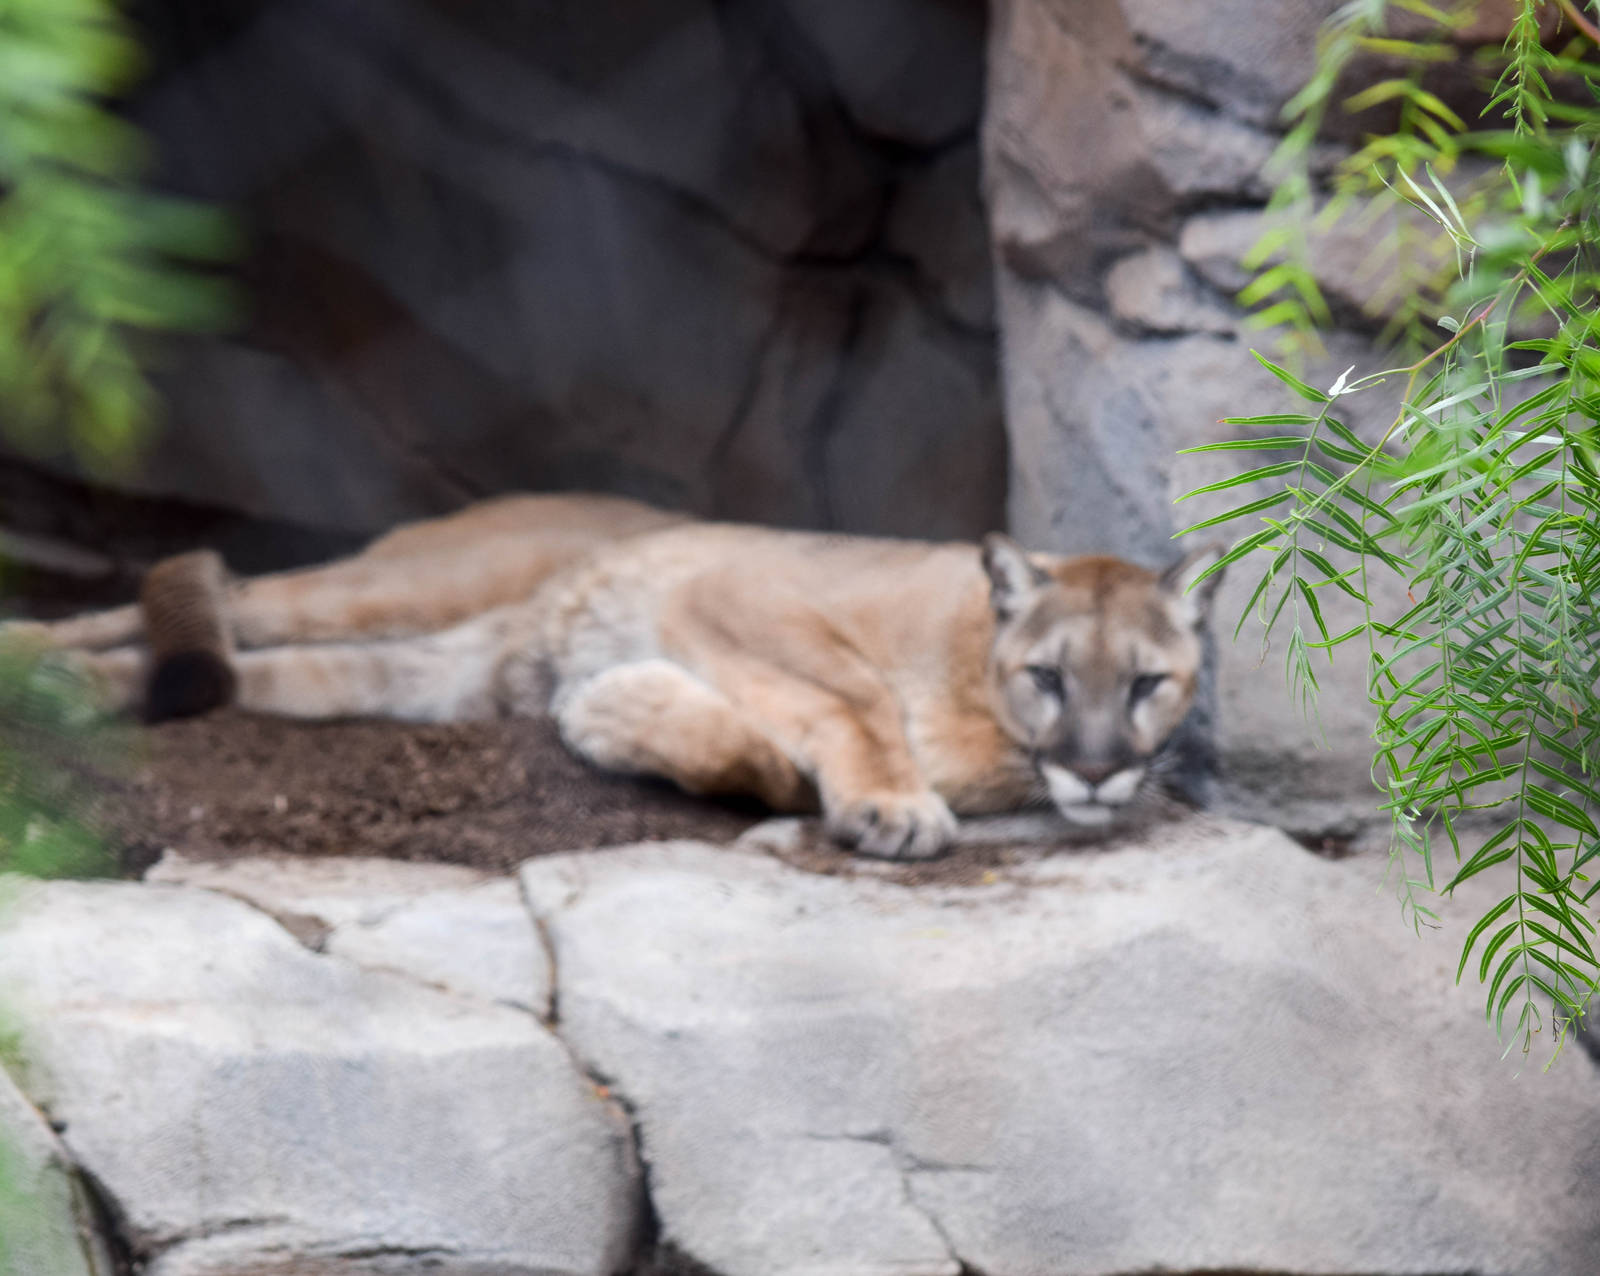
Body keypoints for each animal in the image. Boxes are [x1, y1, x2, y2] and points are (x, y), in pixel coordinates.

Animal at [17, 493, 1224, 859]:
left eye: (1147, 685)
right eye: (1050, 678)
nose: (1099, 772)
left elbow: (752, 751)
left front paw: (616, 706)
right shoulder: (743, 591)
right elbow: (851, 698)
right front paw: (893, 804)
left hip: (436, 668)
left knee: (264, 668)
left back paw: (72, 693)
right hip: (404, 586)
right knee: (212, 594)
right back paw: (29, 651)